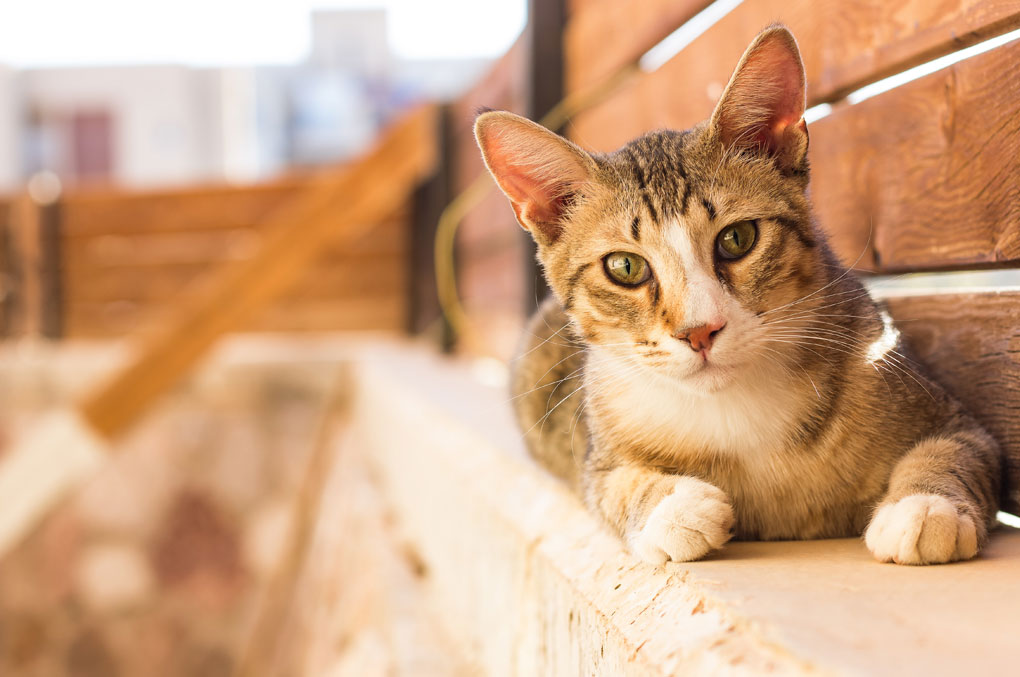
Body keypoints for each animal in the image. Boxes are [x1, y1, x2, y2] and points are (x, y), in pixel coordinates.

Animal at [475, 25, 1003, 566]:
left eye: (737, 238)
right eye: (625, 267)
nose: (700, 332)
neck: (733, 407)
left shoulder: (946, 410)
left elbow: (959, 447)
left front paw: (926, 505)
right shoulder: (596, 451)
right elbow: (608, 486)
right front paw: (671, 505)